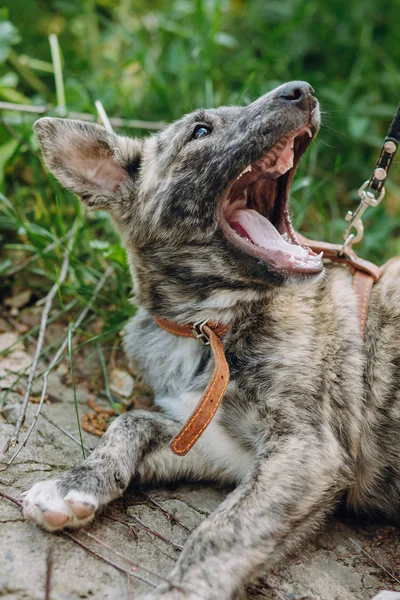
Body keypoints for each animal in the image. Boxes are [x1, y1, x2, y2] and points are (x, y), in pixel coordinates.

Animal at [22, 81, 400, 600]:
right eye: (200, 131)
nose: (301, 91)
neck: (207, 324)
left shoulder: (306, 450)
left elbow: (220, 533)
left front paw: (180, 589)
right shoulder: (219, 445)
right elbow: (129, 421)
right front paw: (73, 484)